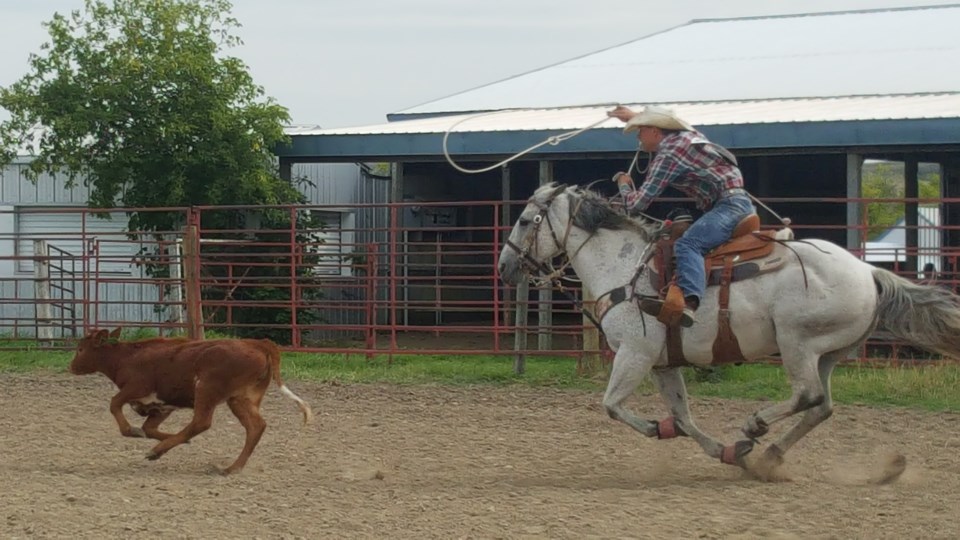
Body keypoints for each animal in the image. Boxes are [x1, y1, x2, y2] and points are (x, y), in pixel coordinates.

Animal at [72, 326, 312, 474]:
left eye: (81, 349)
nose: (71, 367)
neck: (126, 358)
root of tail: (257, 344)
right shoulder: (162, 406)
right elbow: (149, 428)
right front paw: (174, 439)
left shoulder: (136, 388)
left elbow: (115, 404)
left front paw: (133, 431)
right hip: (241, 398)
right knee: (256, 426)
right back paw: (231, 468)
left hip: (207, 389)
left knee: (201, 422)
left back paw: (157, 451)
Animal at [498, 182, 960, 476]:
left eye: (524, 220)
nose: (504, 267)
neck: (625, 265)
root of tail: (869, 272)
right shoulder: (663, 363)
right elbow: (683, 416)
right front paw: (727, 452)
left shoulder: (635, 353)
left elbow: (612, 405)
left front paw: (657, 429)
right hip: (829, 352)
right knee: (822, 406)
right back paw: (767, 457)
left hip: (797, 343)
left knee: (807, 395)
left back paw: (756, 426)